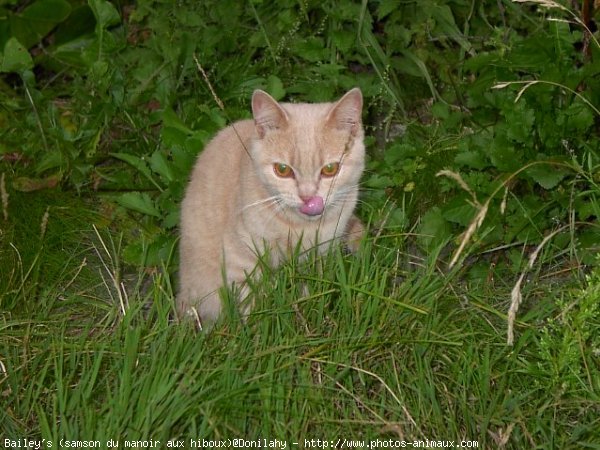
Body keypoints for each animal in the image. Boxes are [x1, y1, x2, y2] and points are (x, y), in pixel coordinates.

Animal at [178, 88, 366, 326]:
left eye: (330, 169)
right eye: (282, 170)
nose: (308, 197)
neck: (302, 228)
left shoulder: (322, 251)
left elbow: (313, 287)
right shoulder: (242, 258)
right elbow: (251, 303)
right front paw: (256, 328)